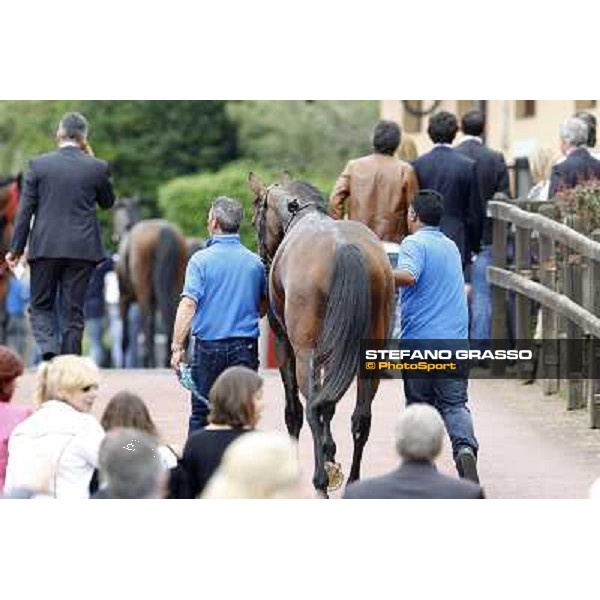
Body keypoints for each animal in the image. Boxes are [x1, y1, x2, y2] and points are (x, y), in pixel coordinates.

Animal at [112, 198, 188, 366]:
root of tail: (164, 231)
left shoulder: (123, 299)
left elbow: (125, 337)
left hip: (143, 292)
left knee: (146, 325)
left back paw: (150, 359)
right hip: (178, 285)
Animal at [247, 172, 394, 496]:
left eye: (254, 220)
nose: (262, 258)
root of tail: (344, 247)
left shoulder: (286, 344)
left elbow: (295, 410)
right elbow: (332, 404)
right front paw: (330, 452)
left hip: (305, 353)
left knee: (312, 408)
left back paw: (320, 482)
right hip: (369, 354)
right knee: (360, 417)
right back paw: (351, 481)